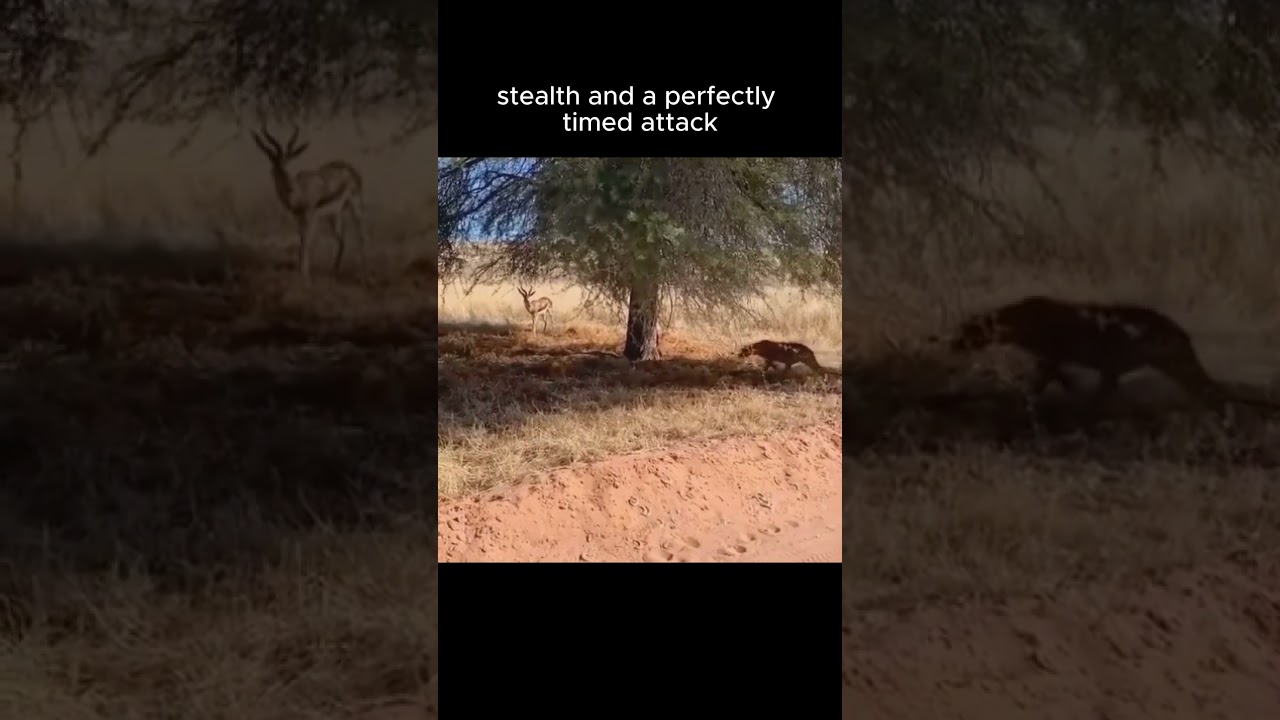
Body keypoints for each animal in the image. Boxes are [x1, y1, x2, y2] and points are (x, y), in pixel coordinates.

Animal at [251, 125, 370, 283]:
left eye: (287, 166)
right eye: (276, 170)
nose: (289, 187)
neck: (300, 192)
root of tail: (351, 168)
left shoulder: (310, 217)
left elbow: (306, 244)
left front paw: (305, 278)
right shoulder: (299, 219)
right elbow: (301, 242)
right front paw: (301, 274)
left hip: (355, 206)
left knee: (361, 238)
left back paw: (364, 275)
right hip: (333, 215)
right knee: (342, 241)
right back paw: (334, 272)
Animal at [940, 295, 1280, 412]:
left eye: (963, 333)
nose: (951, 343)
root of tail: (1179, 330)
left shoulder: (1051, 354)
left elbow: (1044, 379)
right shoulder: (1052, 357)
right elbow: (1050, 379)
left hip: (1173, 363)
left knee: (1210, 391)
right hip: (1131, 366)